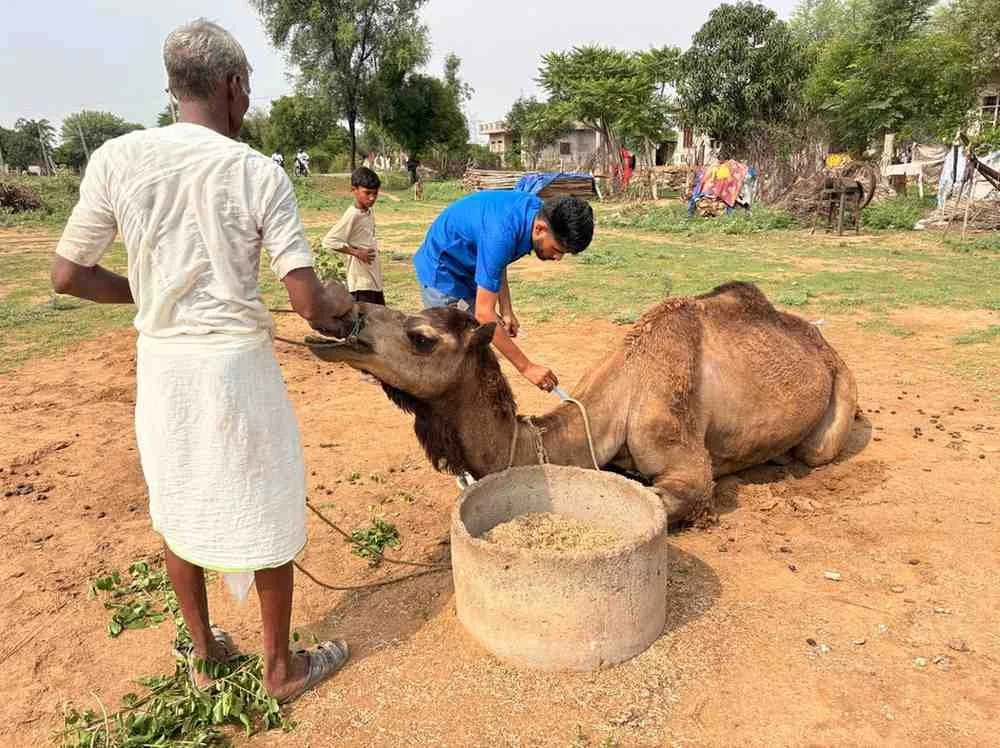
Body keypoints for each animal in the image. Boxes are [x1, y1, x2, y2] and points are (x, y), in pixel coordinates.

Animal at [309, 282, 858, 523]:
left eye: (421, 337)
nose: (349, 318)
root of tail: (822, 341)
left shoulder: (686, 464)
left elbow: (674, 496)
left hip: (839, 397)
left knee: (815, 450)